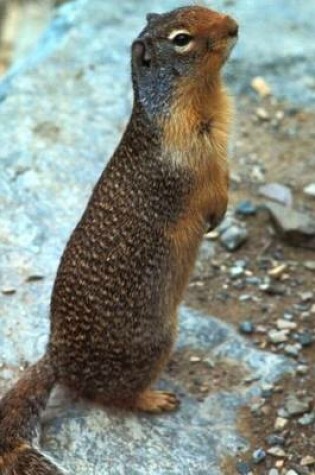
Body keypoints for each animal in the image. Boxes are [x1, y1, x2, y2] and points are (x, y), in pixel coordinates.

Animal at [0, 5, 237, 474]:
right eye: (181, 39)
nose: (235, 25)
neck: (201, 98)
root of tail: (57, 357)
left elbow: (226, 180)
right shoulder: (188, 169)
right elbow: (207, 194)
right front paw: (215, 217)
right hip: (152, 342)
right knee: (112, 396)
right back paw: (157, 399)